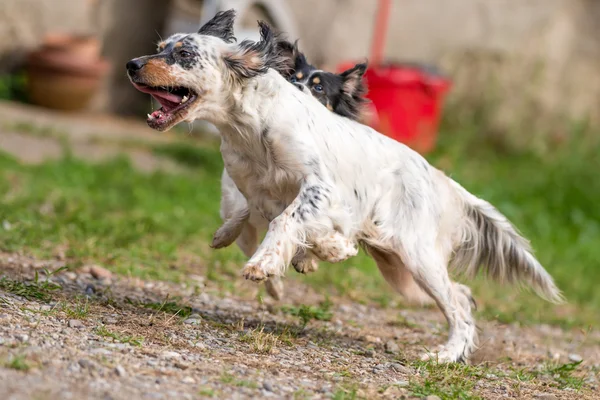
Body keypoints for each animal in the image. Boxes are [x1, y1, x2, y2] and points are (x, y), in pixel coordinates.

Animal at [126, 10, 564, 362]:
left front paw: (265, 264)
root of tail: (442, 181)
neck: (249, 127)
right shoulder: (257, 190)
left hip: (418, 257)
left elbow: (286, 222)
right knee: (463, 294)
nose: (132, 64)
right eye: (160, 48)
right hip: (401, 271)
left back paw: (445, 355)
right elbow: (266, 219)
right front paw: (316, 249)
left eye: (185, 54)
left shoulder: (321, 188)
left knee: (457, 304)